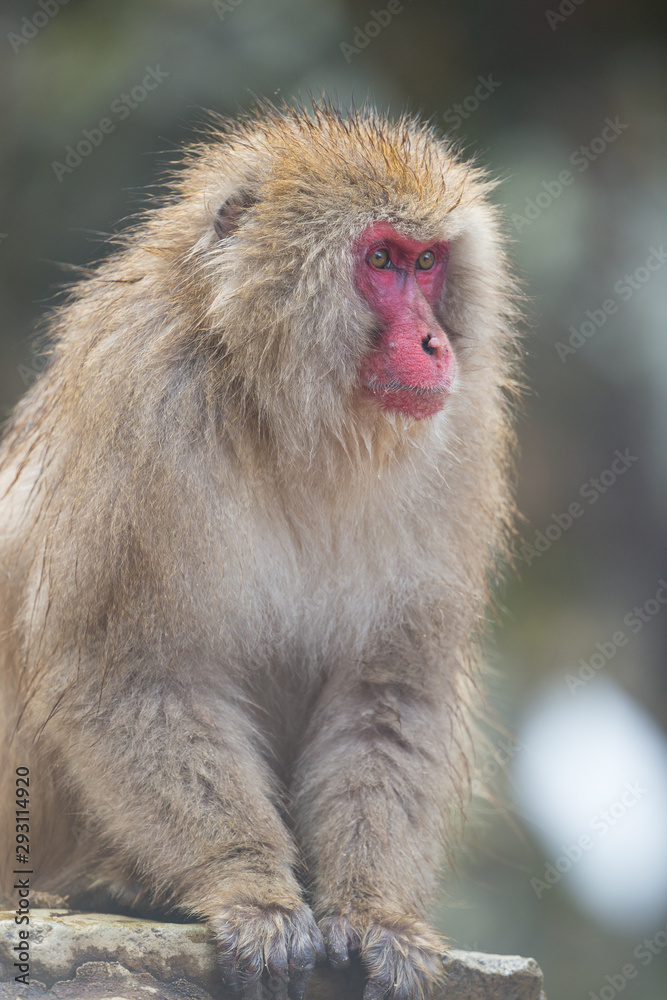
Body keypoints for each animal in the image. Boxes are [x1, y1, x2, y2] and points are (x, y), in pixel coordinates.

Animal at [0, 102, 520, 1000]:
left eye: (426, 263)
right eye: (379, 261)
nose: (432, 343)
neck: (284, 412)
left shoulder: (461, 431)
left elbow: (390, 695)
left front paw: (374, 912)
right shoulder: (144, 391)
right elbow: (130, 673)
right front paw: (247, 886)